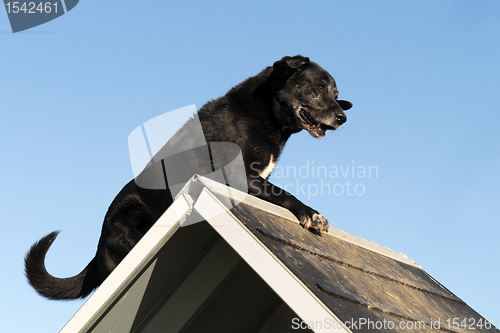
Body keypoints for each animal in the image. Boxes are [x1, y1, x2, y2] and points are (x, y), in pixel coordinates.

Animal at [24, 54, 352, 298]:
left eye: (337, 95)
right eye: (318, 87)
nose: (342, 116)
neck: (262, 114)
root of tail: (98, 247)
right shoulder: (241, 177)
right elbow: (284, 193)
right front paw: (312, 215)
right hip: (130, 218)